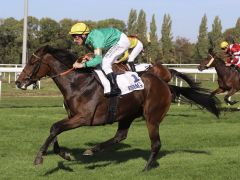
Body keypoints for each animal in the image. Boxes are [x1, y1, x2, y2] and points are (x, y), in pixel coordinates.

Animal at [15, 45, 219, 172]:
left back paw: (146, 168)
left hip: (152, 117)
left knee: (156, 143)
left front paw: (39, 158)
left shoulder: (82, 118)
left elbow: (55, 127)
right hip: (127, 114)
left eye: (32, 62)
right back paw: (93, 150)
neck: (77, 82)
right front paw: (64, 154)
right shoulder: (71, 116)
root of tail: (166, 85)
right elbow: (55, 131)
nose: (18, 82)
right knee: (120, 135)